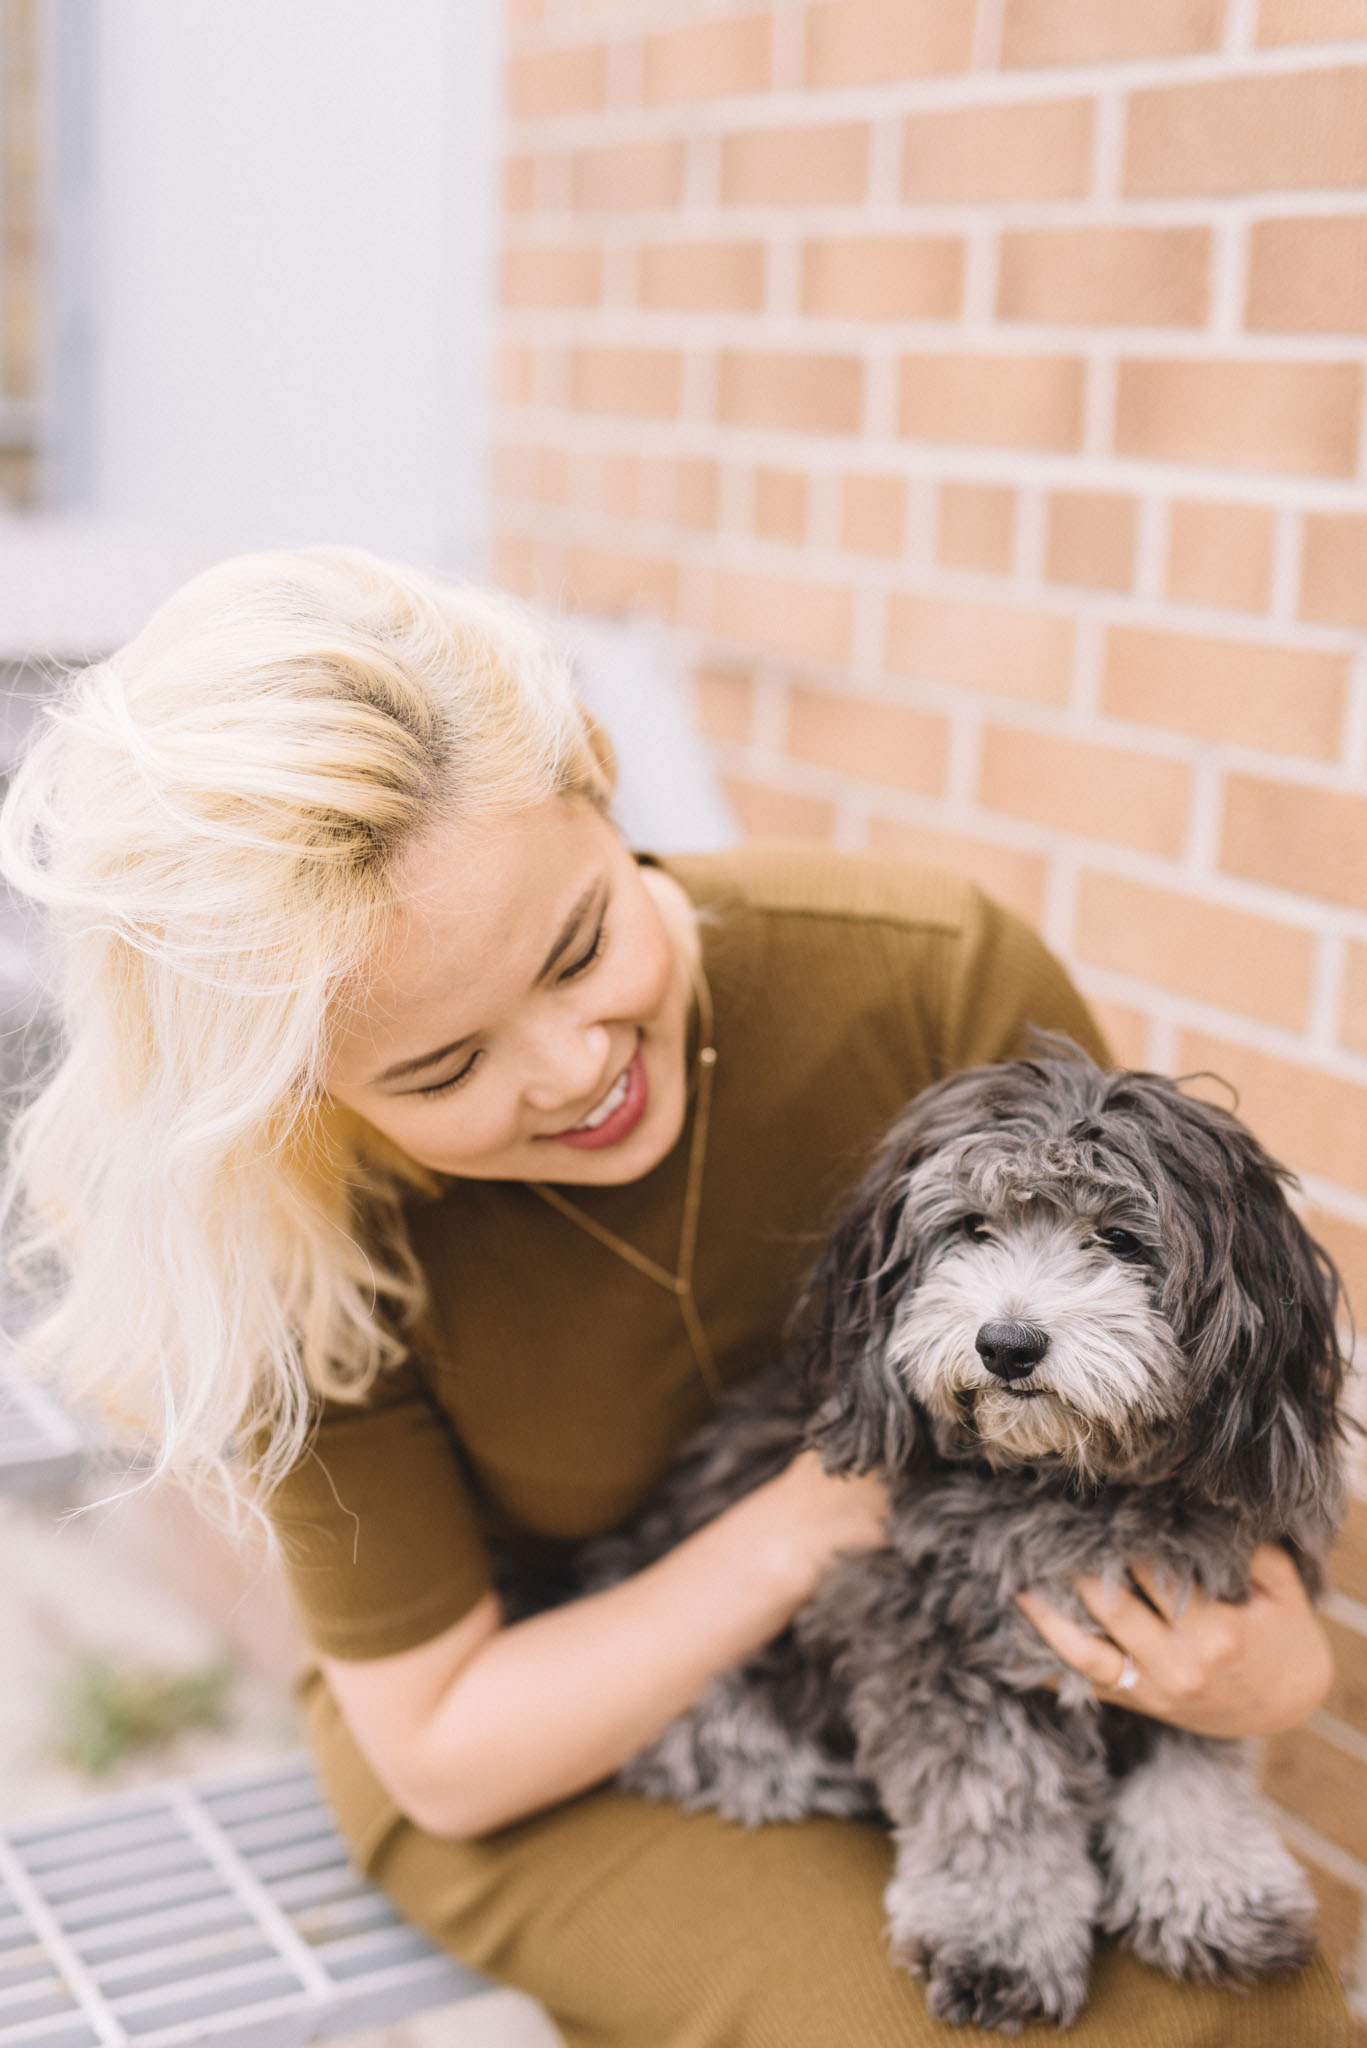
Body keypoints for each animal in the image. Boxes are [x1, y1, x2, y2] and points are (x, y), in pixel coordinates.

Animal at [582, 1040, 1344, 2031]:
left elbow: (1195, 1771)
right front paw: (997, 1942)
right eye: (974, 1227)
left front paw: (1218, 1896)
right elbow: (992, 1805)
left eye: (1120, 1239)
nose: (1006, 1345)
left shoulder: (1200, 1624)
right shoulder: (930, 1636)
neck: (1068, 1488)